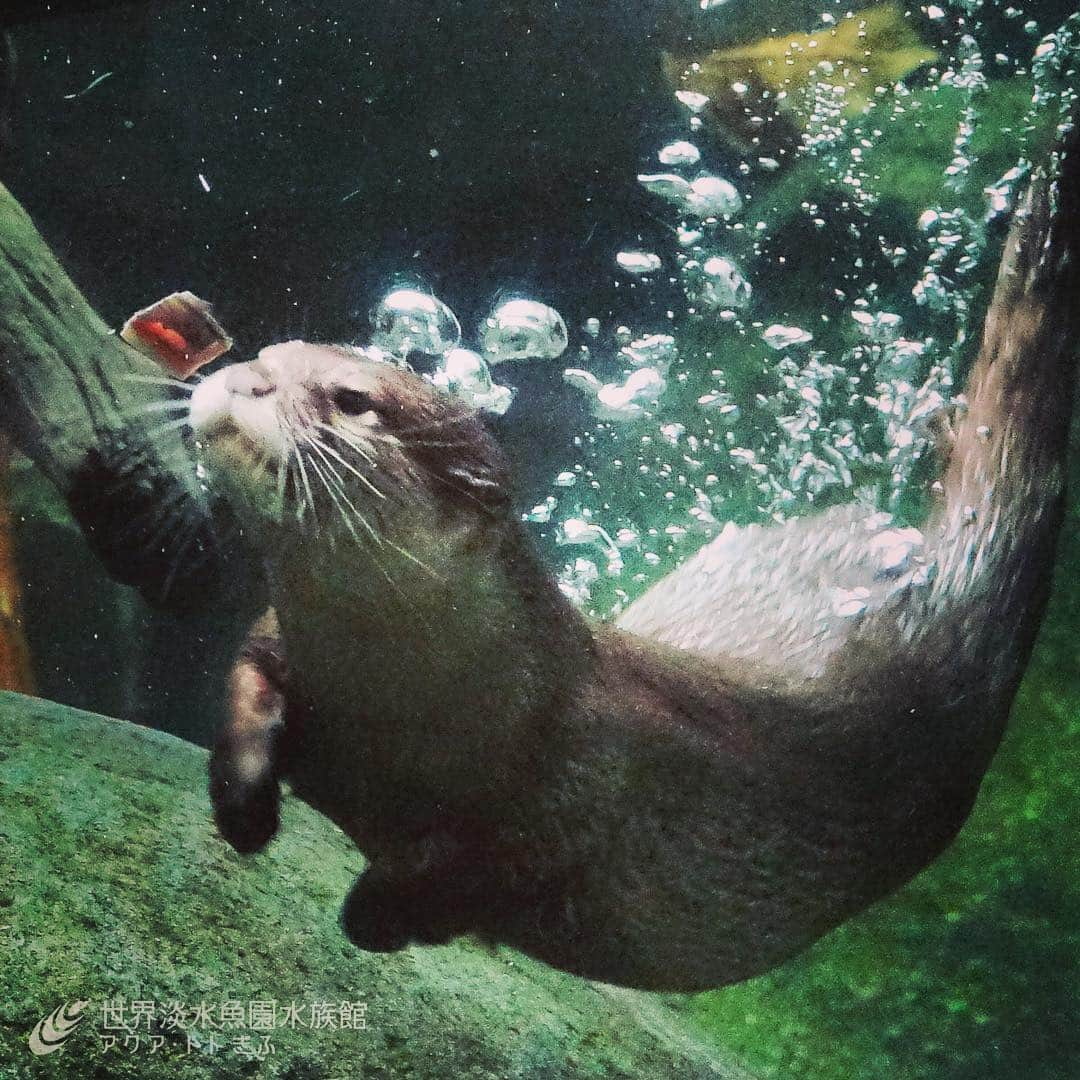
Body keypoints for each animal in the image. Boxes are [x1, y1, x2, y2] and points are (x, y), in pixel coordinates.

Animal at [198, 145, 1075, 993]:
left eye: (352, 399)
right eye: (271, 352)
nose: (249, 377)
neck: (402, 705)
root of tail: (939, 577)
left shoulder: (581, 788)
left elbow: (485, 874)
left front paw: (379, 913)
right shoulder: (278, 637)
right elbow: (243, 678)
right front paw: (243, 805)